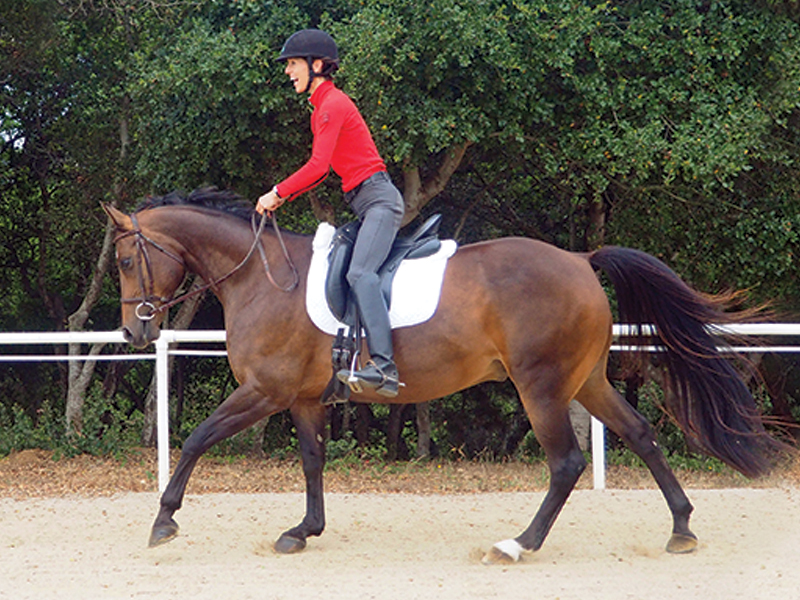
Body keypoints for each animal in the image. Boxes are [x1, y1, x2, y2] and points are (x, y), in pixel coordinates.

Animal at [104, 188, 780, 564]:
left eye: (126, 258)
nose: (133, 334)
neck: (260, 275)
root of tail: (579, 259)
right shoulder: (302, 398)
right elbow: (313, 461)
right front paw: (303, 531)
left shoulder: (264, 391)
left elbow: (196, 438)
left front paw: (163, 521)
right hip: (586, 381)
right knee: (641, 435)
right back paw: (682, 529)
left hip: (539, 386)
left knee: (565, 463)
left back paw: (517, 545)